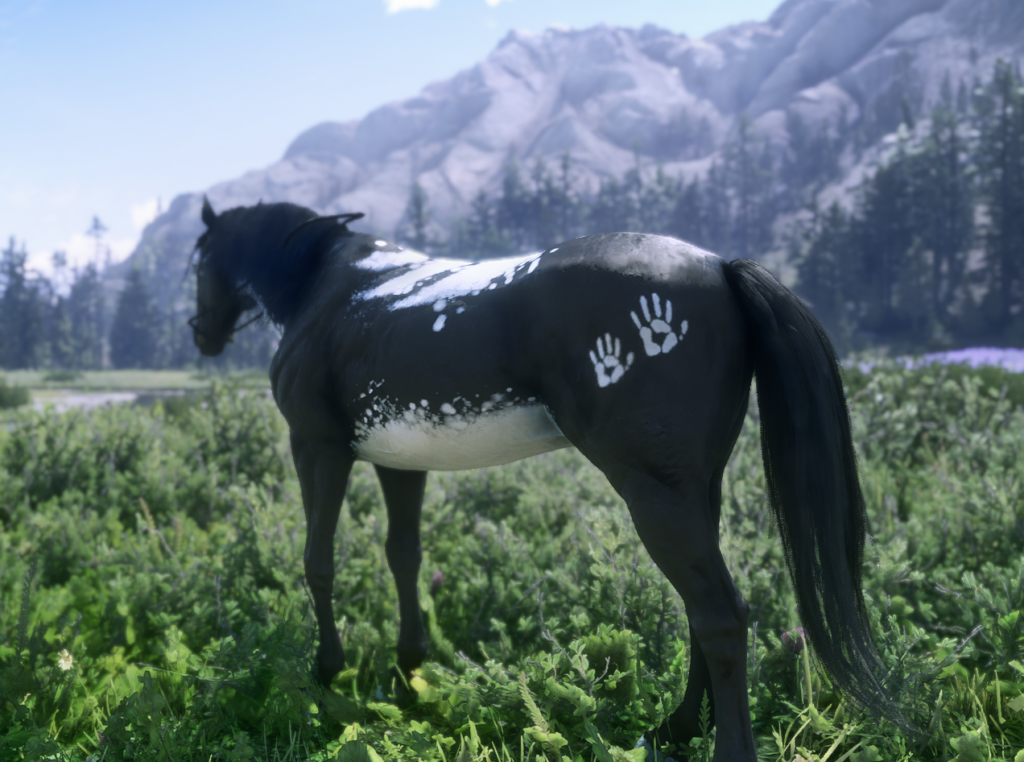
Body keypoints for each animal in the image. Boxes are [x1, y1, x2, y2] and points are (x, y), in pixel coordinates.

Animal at [191, 198, 895, 760]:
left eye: (198, 263)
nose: (202, 335)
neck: (330, 288)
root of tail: (720, 268)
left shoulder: (317, 447)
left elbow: (318, 560)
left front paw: (326, 671)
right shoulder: (399, 459)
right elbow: (403, 555)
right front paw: (409, 667)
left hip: (654, 492)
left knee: (720, 615)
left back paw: (723, 747)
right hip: (698, 490)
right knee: (704, 610)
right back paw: (678, 728)